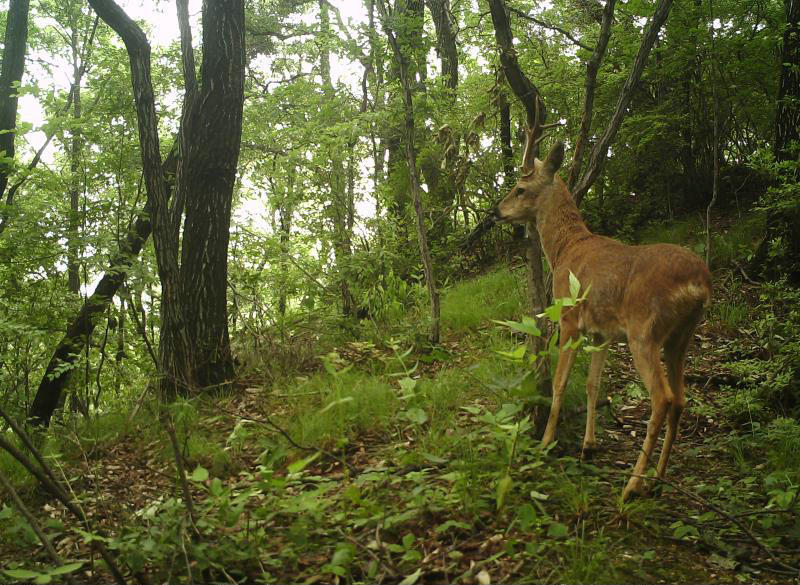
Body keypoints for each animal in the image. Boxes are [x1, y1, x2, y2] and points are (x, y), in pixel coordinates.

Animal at [494, 130, 712, 500]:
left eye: (520, 188)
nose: (497, 211)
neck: (564, 249)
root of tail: (700, 283)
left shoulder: (568, 318)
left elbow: (561, 382)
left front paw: (547, 441)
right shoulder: (602, 332)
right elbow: (593, 384)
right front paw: (589, 445)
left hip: (644, 332)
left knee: (663, 398)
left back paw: (633, 484)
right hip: (681, 336)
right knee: (681, 399)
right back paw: (659, 477)